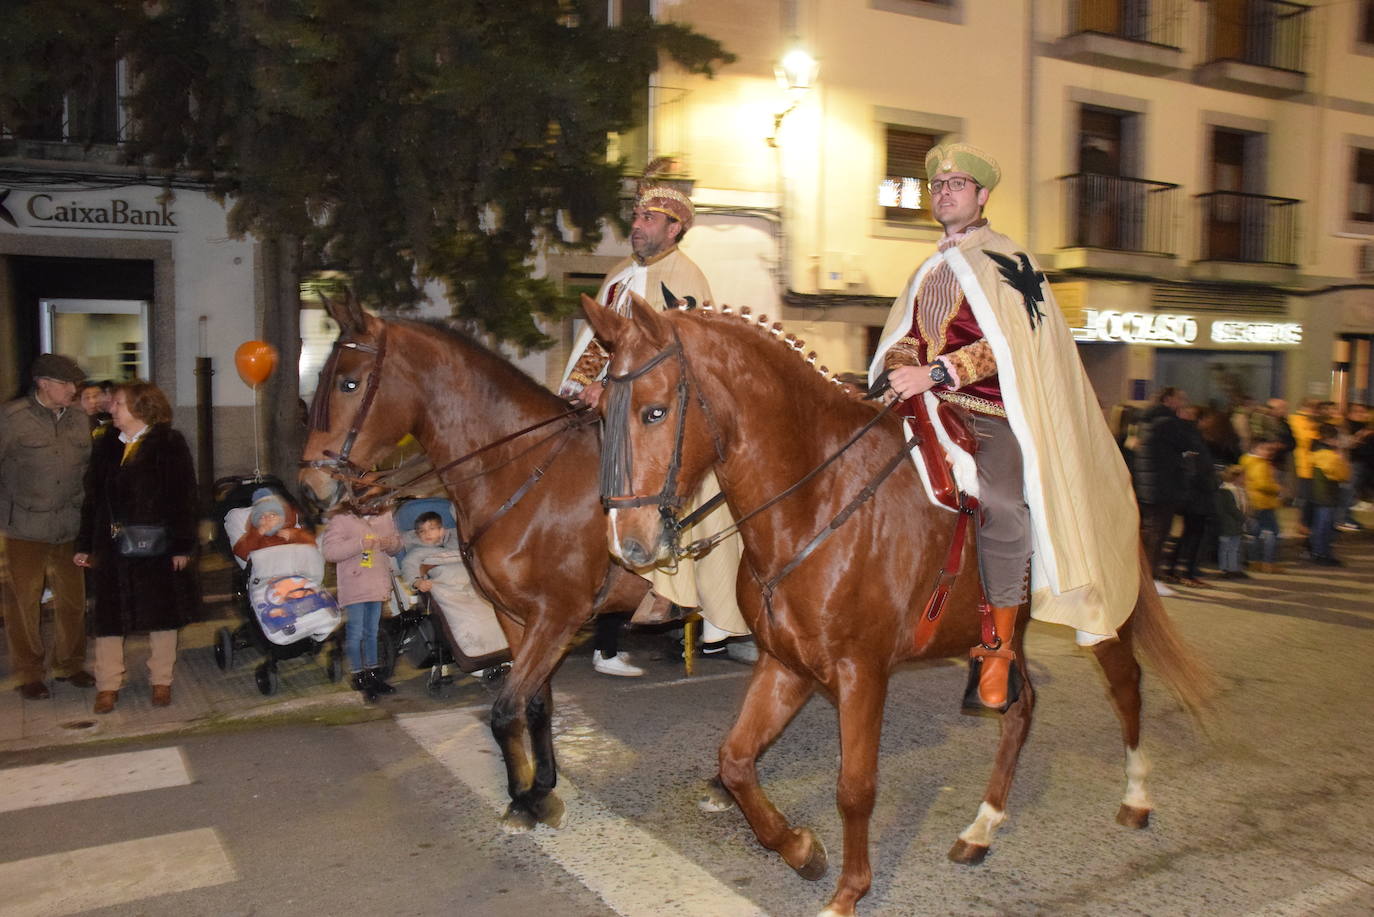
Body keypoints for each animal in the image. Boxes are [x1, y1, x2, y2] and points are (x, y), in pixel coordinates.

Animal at [298, 292, 651, 830]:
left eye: (349, 382)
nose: (308, 487)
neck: (525, 472)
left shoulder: (557, 616)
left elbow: (504, 710)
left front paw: (525, 797)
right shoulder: (518, 617)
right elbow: (535, 704)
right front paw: (540, 786)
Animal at [585, 295, 1209, 917]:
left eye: (656, 413)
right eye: (601, 413)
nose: (625, 544)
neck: (820, 498)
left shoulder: (861, 672)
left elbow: (855, 787)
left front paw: (848, 893)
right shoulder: (786, 664)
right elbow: (735, 761)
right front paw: (801, 850)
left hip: (1101, 614)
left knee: (1126, 686)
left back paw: (1136, 796)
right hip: (1007, 639)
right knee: (1020, 707)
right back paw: (981, 828)